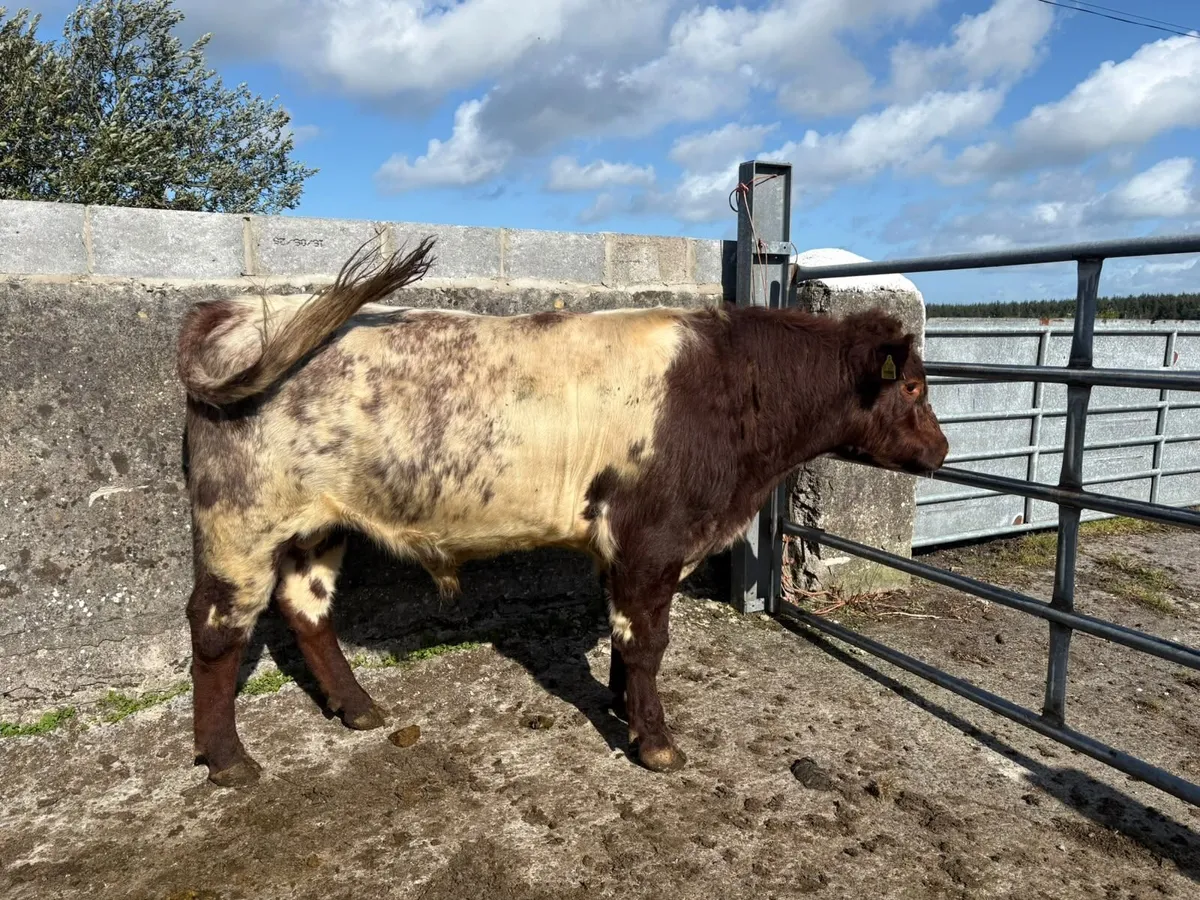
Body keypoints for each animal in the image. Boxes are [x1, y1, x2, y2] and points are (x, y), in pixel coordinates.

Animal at [176, 234, 949, 787]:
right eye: (913, 387)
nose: (942, 450)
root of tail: (234, 311)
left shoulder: (626, 549)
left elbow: (624, 642)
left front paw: (622, 711)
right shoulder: (651, 540)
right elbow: (646, 643)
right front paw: (657, 744)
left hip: (316, 525)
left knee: (307, 609)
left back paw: (358, 708)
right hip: (239, 524)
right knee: (215, 630)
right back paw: (229, 761)